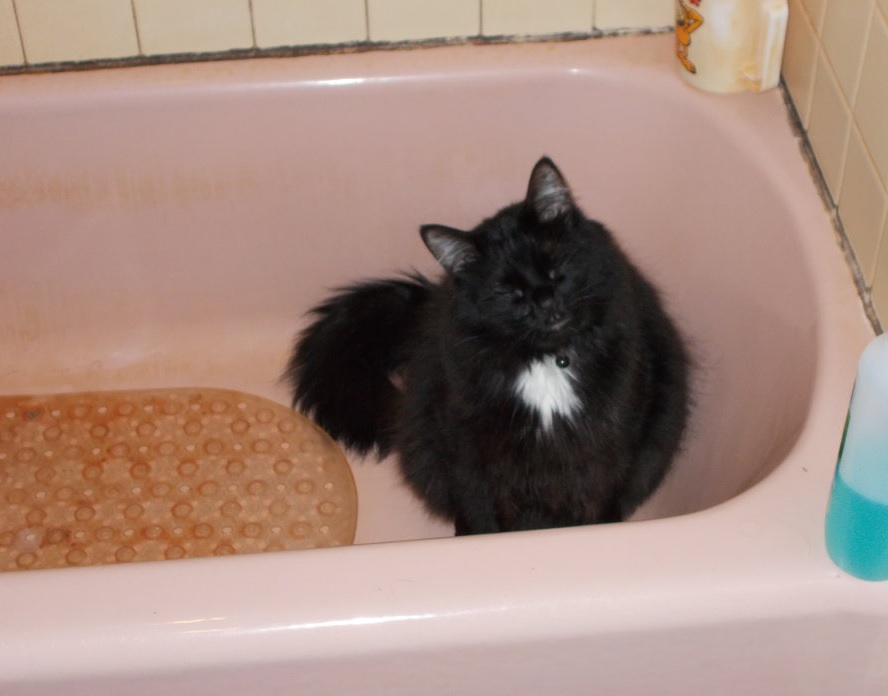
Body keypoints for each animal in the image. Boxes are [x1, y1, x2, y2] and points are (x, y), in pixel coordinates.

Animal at [288, 158, 692, 536]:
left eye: (554, 264)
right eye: (506, 289)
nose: (544, 300)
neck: (545, 361)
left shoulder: (609, 448)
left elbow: (599, 502)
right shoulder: (468, 450)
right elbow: (480, 513)